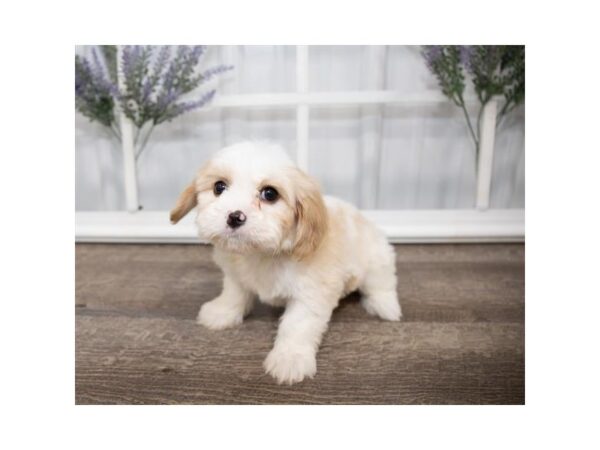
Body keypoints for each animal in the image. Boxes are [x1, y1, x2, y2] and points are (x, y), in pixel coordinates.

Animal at [171, 141, 400, 384]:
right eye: (219, 187)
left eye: (269, 193)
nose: (234, 217)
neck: (262, 253)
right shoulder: (235, 274)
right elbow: (234, 293)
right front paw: (222, 312)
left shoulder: (310, 295)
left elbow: (296, 326)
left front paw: (290, 358)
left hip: (377, 258)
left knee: (382, 284)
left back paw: (386, 307)